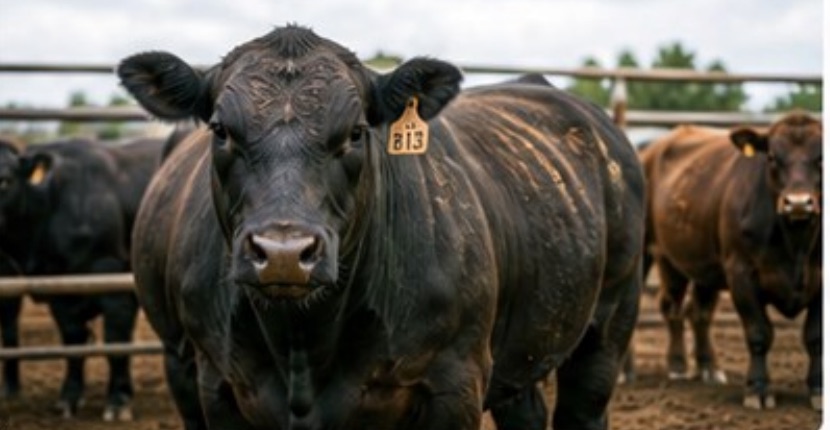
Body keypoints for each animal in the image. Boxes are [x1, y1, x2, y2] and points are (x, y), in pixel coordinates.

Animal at [0, 135, 166, 420]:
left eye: (4, 180)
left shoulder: (113, 284)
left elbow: (115, 342)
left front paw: (118, 401)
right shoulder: (60, 291)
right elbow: (73, 343)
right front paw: (69, 398)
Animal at [118, 24, 645, 430]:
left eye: (355, 132)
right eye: (221, 130)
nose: (284, 253)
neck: (303, 348)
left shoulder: (456, 384)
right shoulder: (219, 384)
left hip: (609, 323)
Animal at [639, 113, 822, 410]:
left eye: (821, 156)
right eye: (772, 156)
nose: (797, 203)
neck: (795, 244)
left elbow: (815, 336)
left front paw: (818, 390)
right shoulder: (741, 274)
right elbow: (759, 333)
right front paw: (757, 389)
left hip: (701, 266)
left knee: (697, 312)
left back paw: (708, 368)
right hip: (647, 252)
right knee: (661, 307)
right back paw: (658, 368)